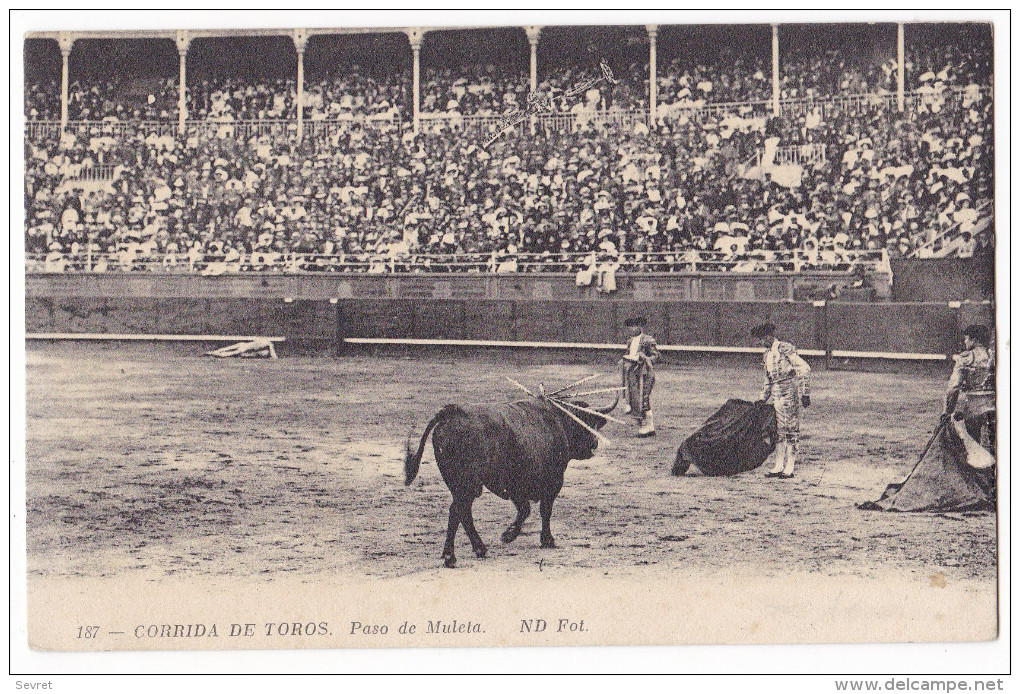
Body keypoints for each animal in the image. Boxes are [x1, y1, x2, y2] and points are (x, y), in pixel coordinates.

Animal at [403, 395, 612, 567]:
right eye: (585, 422)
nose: (595, 443)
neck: (558, 421)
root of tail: (453, 412)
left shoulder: (515, 487)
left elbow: (526, 509)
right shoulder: (551, 482)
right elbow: (543, 511)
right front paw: (531, 538)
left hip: (460, 485)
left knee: (460, 511)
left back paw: (472, 550)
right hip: (467, 485)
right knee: (458, 511)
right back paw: (454, 555)